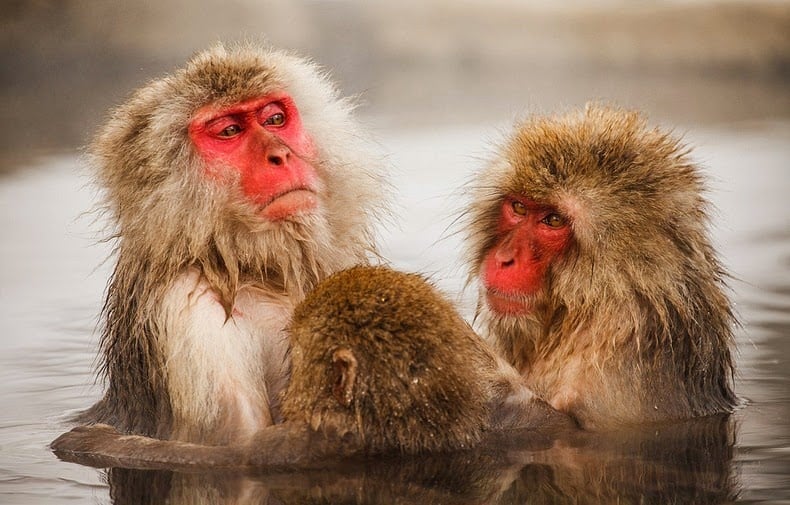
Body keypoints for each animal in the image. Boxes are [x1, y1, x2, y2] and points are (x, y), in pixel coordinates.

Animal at [72, 44, 388, 444]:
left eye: (274, 119)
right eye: (230, 131)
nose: (280, 155)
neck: (244, 266)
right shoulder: (192, 316)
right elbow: (236, 443)